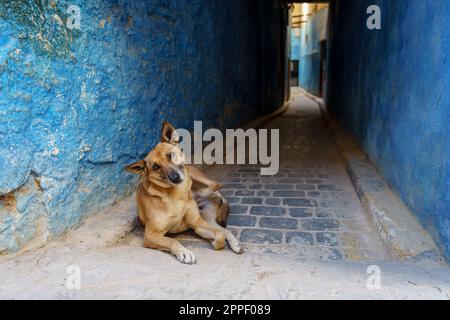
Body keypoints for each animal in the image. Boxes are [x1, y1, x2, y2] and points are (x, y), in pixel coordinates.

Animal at [125, 121, 243, 264]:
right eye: (156, 167)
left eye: (170, 155)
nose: (175, 178)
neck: (176, 195)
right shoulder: (150, 234)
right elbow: (173, 241)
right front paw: (184, 252)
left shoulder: (197, 223)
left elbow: (219, 236)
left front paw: (213, 241)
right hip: (207, 217)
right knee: (223, 229)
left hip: (194, 177)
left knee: (215, 185)